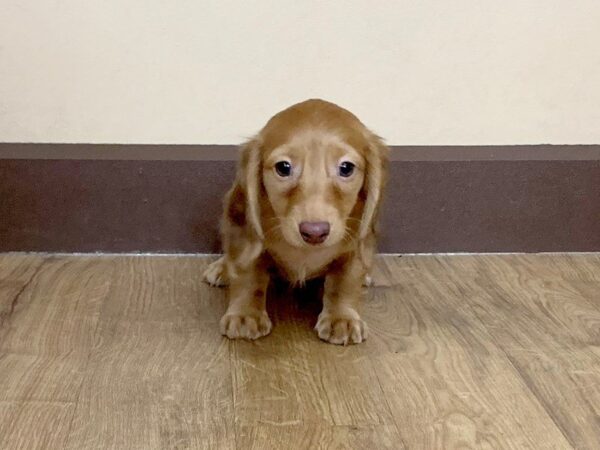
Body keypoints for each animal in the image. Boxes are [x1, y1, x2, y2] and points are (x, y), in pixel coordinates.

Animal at [203, 98, 390, 344]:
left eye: (346, 168)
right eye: (284, 167)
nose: (315, 232)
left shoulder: (356, 240)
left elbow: (345, 280)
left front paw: (342, 318)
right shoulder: (249, 236)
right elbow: (249, 273)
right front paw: (245, 314)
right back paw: (222, 268)